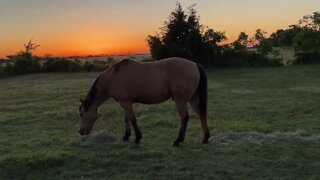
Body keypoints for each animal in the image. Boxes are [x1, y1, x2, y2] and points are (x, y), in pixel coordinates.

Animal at [79, 57, 210, 146]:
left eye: (81, 114)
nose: (81, 132)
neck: (113, 76)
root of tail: (195, 65)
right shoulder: (126, 102)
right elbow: (127, 118)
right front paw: (126, 136)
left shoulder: (125, 102)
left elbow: (132, 119)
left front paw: (137, 138)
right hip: (192, 99)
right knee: (201, 115)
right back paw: (205, 138)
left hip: (180, 99)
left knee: (184, 117)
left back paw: (178, 141)